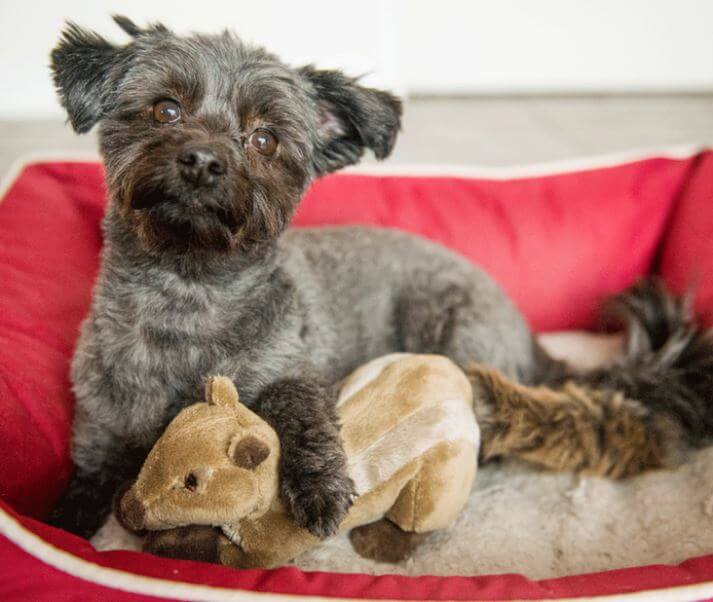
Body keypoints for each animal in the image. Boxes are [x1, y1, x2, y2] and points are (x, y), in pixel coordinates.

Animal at [46, 17, 713, 540]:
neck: (187, 293)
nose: (204, 161)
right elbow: (87, 475)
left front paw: (318, 486)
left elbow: (300, 407)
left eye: (265, 138)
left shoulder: (292, 366)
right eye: (166, 109)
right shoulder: (100, 420)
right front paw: (65, 519)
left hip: (452, 331)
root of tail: (528, 336)